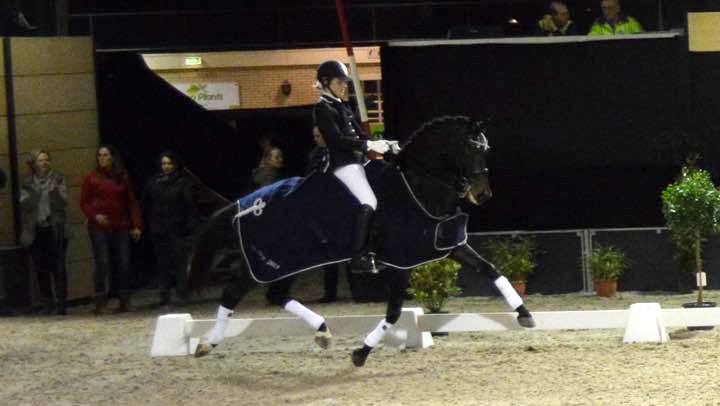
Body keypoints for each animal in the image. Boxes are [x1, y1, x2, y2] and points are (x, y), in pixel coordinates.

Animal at [187, 116, 536, 366]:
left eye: (485, 150)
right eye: (470, 149)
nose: (482, 194)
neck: (418, 185)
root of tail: (245, 203)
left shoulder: (448, 245)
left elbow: (491, 270)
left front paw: (524, 314)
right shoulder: (400, 261)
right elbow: (394, 312)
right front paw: (361, 353)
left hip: (294, 260)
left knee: (277, 295)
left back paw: (323, 332)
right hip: (267, 261)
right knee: (233, 293)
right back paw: (207, 343)